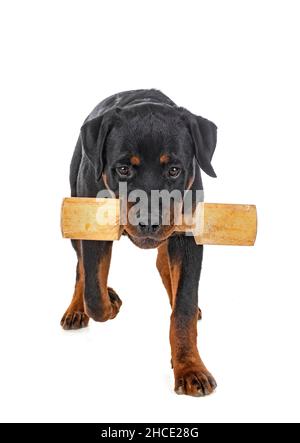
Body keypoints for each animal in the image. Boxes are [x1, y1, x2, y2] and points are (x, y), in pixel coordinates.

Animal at [61, 88, 218, 398]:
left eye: (174, 170)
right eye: (123, 169)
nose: (149, 221)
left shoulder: (188, 237)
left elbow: (183, 306)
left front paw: (189, 368)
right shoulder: (93, 228)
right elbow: (94, 293)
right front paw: (109, 303)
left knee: (163, 264)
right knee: (81, 269)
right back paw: (76, 309)